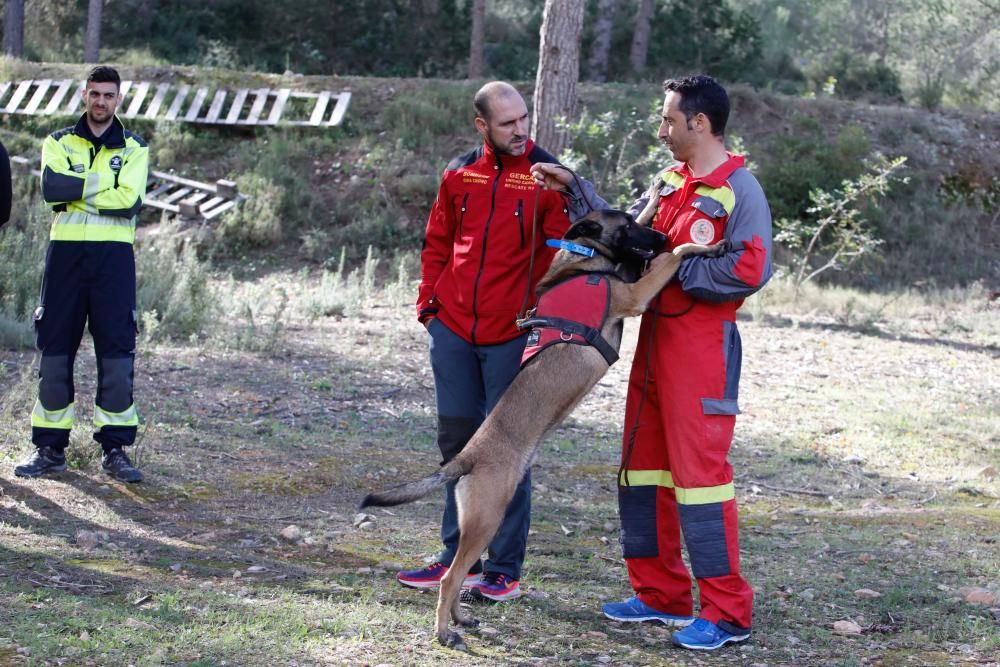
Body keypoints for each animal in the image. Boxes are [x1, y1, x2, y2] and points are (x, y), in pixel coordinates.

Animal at [360, 207, 728, 648]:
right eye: (625, 227)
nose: (659, 235)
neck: (584, 259)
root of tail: (466, 457)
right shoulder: (636, 295)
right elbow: (677, 255)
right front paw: (705, 245)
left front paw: (655, 200)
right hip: (486, 520)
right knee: (451, 577)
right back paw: (446, 633)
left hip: (481, 522)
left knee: (461, 575)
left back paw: (462, 620)